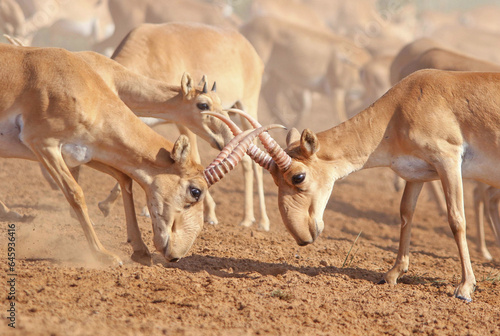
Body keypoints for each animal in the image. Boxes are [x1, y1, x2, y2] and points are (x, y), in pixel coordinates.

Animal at [0, 42, 274, 266]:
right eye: (196, 191)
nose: (176, 255)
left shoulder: (88, 152)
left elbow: (125, 178)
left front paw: (140, 250)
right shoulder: (43, 144)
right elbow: (76, 193)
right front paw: (104, 255)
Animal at [224, 68, 500, 302]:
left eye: (298, 177)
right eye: (274, 178)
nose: (302, 237)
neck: (401, 107)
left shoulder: (448, 160)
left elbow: (456, 219)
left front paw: (465, 288)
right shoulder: (416, 174)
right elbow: (405, 213)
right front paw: (392, 274)